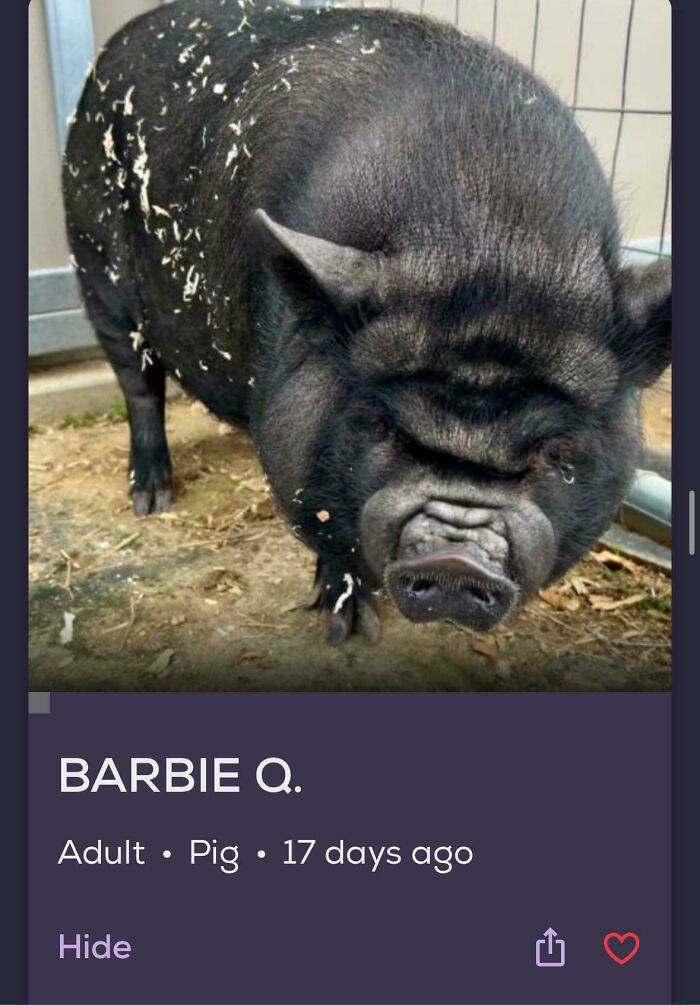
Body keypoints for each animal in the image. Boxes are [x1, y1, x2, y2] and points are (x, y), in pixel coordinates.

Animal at [63, 0, 671, 644]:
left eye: (555, 452)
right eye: (384, 427)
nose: (455, 561)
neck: (490, 239)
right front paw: (351, 631)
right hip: (96, 267)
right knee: (139, 383)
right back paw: (151, 499)